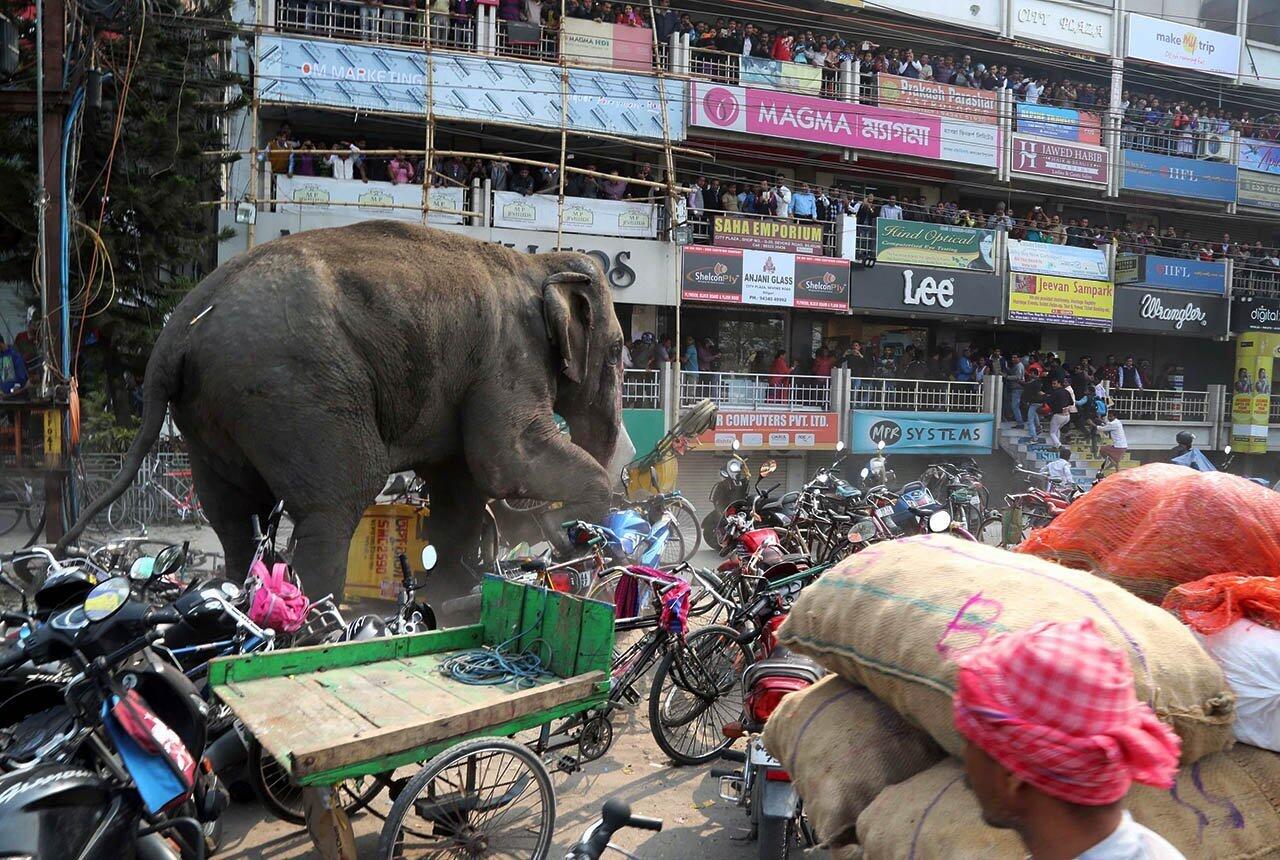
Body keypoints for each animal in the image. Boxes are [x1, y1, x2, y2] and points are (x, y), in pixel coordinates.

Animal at [57, 223, 627, 611]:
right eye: (621, 350)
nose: (560, 539)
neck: (539, 264)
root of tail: (177, 330)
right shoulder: (508, 356)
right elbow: (505, 460)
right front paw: (580, 533)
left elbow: (460, 485)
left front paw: (451, 597)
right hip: (293, 386)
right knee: (340, 494)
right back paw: (313, 618)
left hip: (208, 409)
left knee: (232, 510)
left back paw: (244, 596)